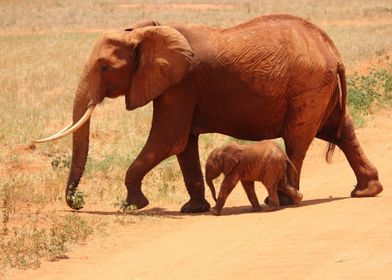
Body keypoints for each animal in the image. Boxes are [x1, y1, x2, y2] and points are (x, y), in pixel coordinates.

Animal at [33, 15, 382, 212]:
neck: (144, 32)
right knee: (341, 130)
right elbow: (183, 144)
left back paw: (282, 202)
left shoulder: (180, 85)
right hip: (320, 90)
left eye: (104, 67)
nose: (77, 203)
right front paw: (192, 209)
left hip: (307, 88)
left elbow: (167, 140)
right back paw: (366, 191)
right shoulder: (178, 89)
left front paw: (132, 205)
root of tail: (333, 50)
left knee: (297, 140)